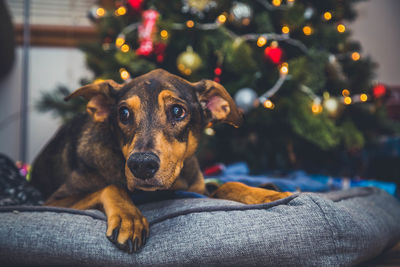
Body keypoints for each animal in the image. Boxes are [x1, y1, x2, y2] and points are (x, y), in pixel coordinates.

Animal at [29, 68, 290, 253]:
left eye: (177, 111)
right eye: (123, 114)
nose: (142, 165)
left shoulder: (199, 191)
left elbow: (228, 184)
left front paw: (267, 194)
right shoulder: (54, 201)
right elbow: (111, 186)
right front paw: (129, 218)